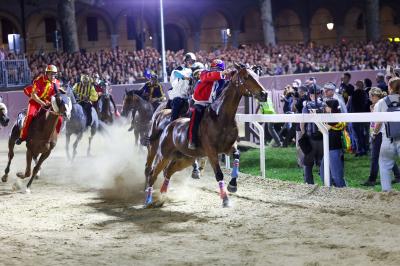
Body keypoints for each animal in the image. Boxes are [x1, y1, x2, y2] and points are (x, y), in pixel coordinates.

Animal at [145, 64, 268, 208]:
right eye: (247, 77)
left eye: (257, 75)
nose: (264, 94)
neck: (221, 117)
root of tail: (169, 125)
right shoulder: (211, 152)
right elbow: (219, 174)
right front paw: (225, 199)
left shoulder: (229, 147)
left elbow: (237, 156)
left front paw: (232, 185)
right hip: (162, 153)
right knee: (152, 172)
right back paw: (148, 199)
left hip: (185, 158)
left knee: (169, 171)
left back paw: (163, 196)